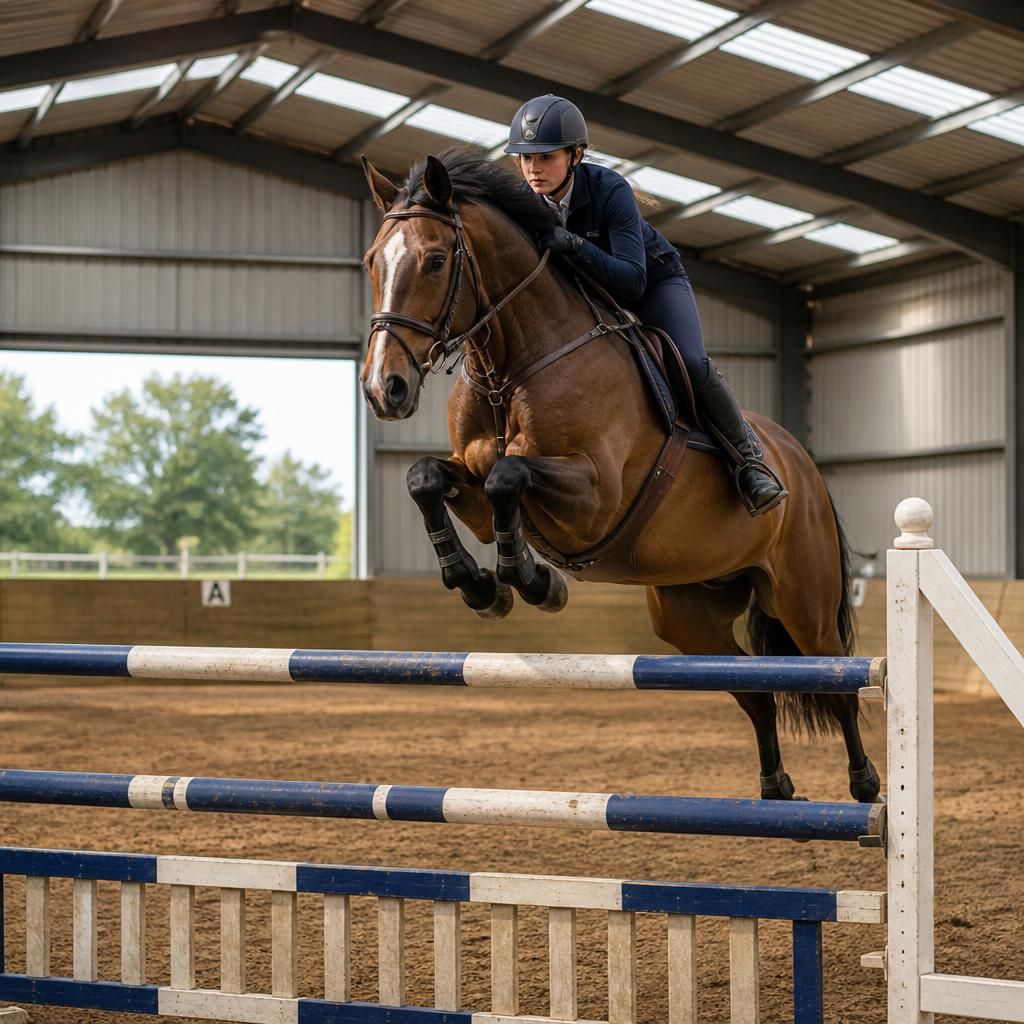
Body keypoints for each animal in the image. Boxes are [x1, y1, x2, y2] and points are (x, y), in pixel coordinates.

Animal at [358, 147, 880, 805]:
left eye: (434, 260)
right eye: (372, 261)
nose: (385, 390)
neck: (515, 366)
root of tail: (804, 463)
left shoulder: (595, 496)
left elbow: (509, 477)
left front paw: (533, 582)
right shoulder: (472, 486)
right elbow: (427, 477)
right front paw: (482, 586)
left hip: (803, 600)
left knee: (836, 680)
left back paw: (866, 786)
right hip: (688, 615)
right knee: (754, 691)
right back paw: (775, 787)